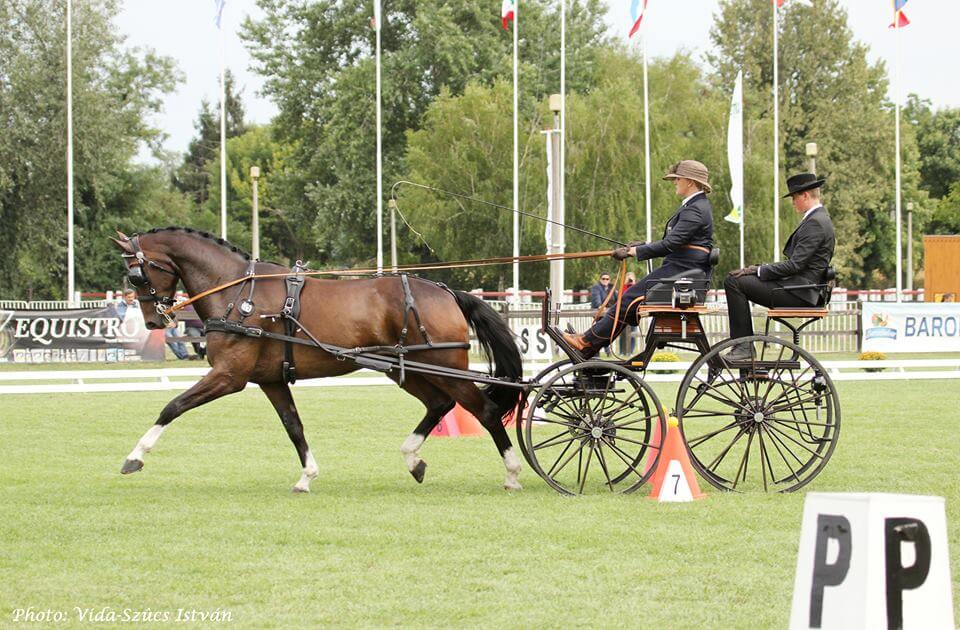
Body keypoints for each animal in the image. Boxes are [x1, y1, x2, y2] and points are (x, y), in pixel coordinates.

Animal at [111, 227, 524, 492]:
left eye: (135, 275)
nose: (153, 321)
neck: (239, 293)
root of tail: (445, 291)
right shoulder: (271, 380)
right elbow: (294, 426)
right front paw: (306, 476)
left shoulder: (229, 375)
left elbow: (173, 406)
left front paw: (135, 456)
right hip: (406, 369)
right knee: (440, 404)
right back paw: (413, 459)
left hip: (445, 367)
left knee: (485, 411)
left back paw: (512, 473)